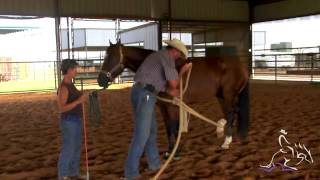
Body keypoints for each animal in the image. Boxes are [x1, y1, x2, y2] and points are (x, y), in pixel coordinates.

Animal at [97, 40, 250, 153]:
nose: (100, 80)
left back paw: (226, 142)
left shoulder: (171, 106)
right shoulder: (163, 106)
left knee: (231, 113)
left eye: (112, 57)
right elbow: (168, 127)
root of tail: (241, 66)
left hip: (229, 96)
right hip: (222, 97)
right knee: (231, 114)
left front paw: (175, 152)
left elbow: (172, 126)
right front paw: (170, 150)